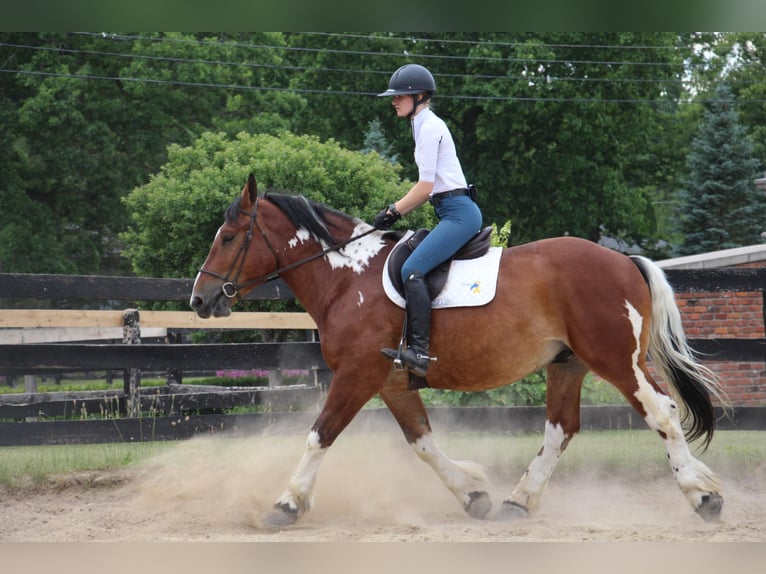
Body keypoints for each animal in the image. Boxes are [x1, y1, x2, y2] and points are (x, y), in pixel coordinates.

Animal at [189, 173, 728, 528]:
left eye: (229, 237)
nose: (199, 300)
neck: (348, 278)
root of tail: (623, 261)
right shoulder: (391, 383)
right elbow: (423, 443)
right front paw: (473, 496)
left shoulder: (357, 376)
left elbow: (320, 436)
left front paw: (286, 504)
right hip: (568, 364)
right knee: (560, 430)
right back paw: (518, 502)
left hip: (616, 360)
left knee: (661, 412)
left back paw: (702, 497)